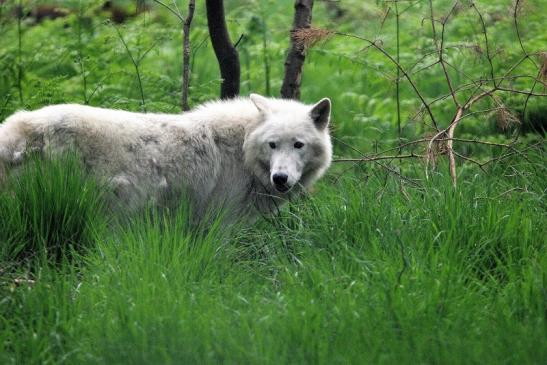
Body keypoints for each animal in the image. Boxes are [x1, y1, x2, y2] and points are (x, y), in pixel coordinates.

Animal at [0, 94, 332, 219]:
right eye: (273, 145)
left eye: (298, 145)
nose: (280, 178)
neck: (242, 150)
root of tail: (16, 127)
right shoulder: (221, 221)